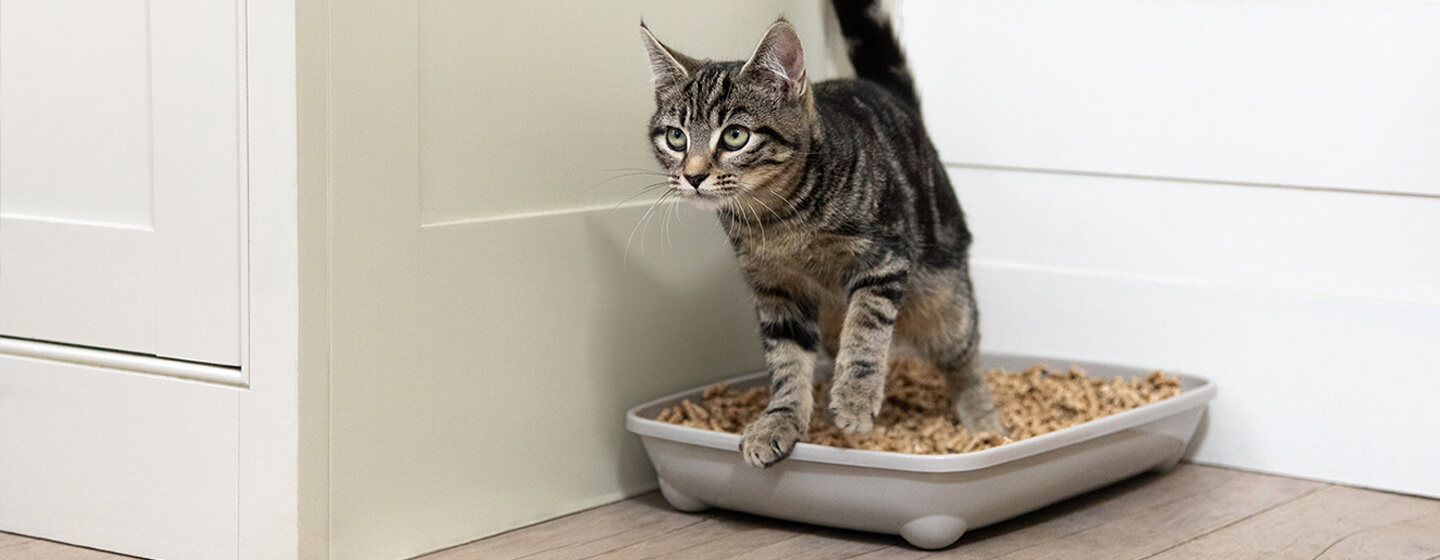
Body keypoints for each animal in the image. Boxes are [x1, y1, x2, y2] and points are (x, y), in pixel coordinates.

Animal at [642, 0, 1002, 466]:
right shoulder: (776, 290)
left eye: (735, 136)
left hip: (945, 304)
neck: (780, 220)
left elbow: (866, 332)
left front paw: (855, 397)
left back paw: (986, 426)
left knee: (965, 357)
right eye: (676, 137)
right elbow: (787, 361)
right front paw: (780, 421)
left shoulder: (884, 259)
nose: (693, 176)